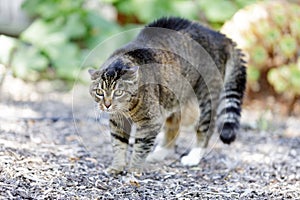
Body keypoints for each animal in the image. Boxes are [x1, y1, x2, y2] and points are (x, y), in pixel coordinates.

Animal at [87, 16, 246, 174]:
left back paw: (194, 156)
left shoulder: (150, 123)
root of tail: (219, 36)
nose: (107, 105)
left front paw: (134, 169)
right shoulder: (117, 122)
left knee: (206, 128)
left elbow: (140, 148)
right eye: (99, 92)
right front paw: (117, 167)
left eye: (118, 92)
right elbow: (119, 144)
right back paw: (160, 153)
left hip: (205, 99)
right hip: (173, 99)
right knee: (174, 129)